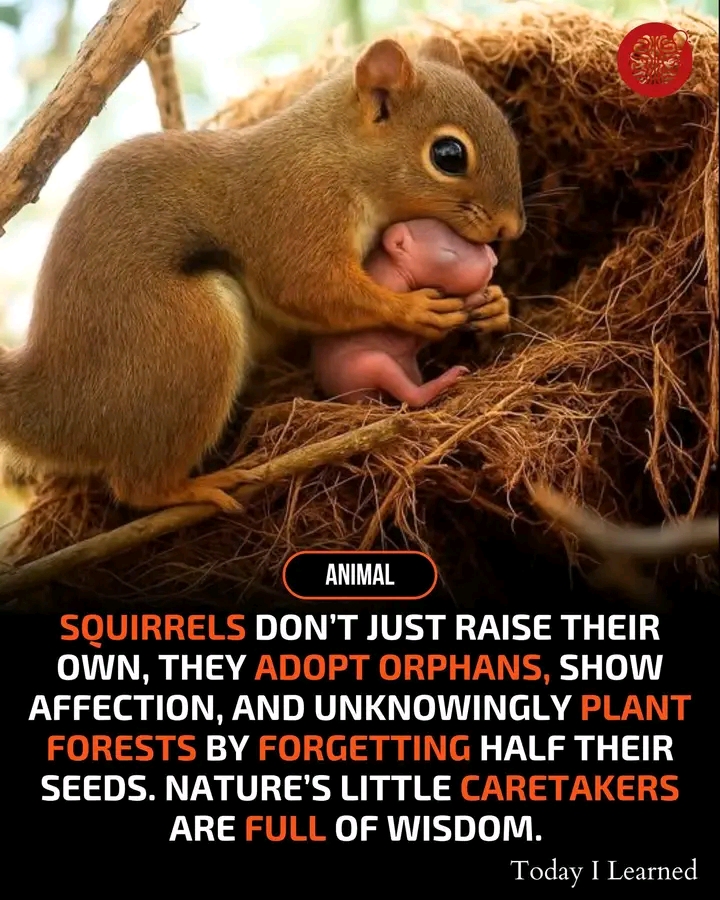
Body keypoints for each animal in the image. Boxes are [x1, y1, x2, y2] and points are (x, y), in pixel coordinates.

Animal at [312, 217, 507, 406]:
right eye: (448, 252)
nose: (492, 259)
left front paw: (493, 303)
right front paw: (472, 300)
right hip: (362, 366)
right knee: (409, 393)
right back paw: (448, 378)